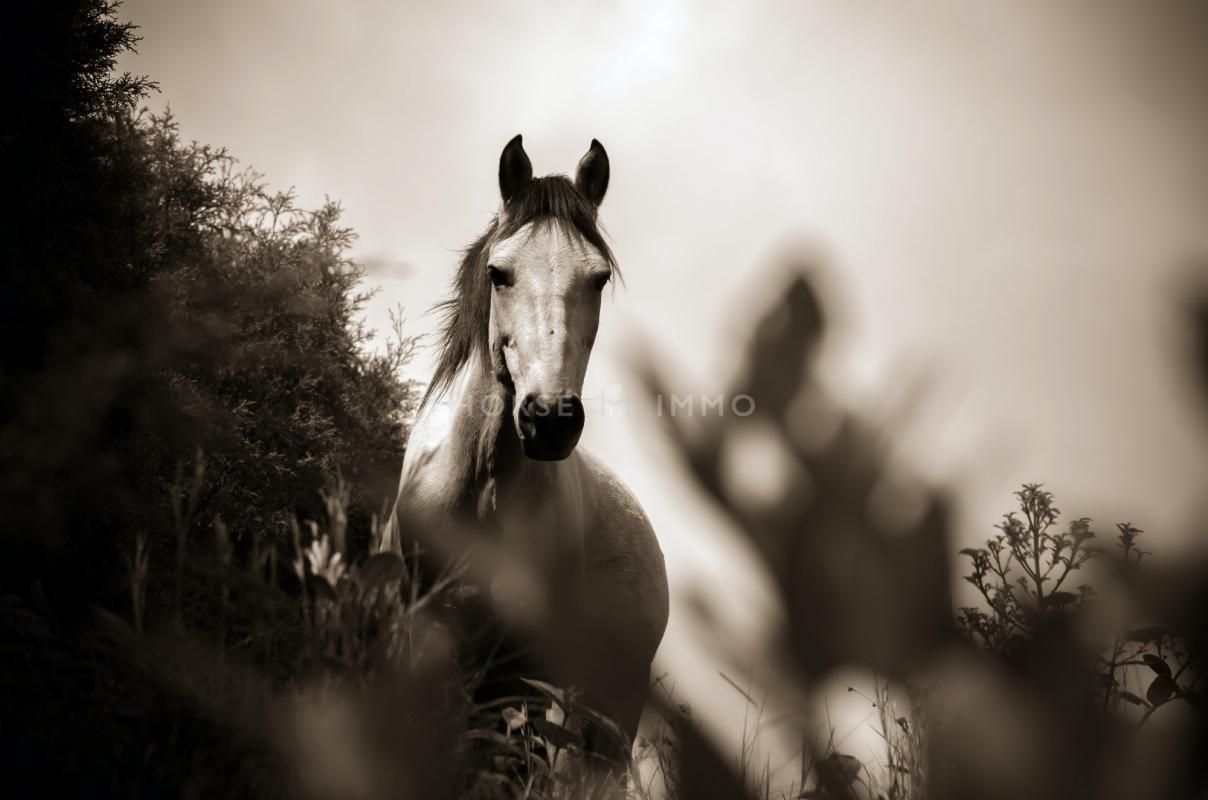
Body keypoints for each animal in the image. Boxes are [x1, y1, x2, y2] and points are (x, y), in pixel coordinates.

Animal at [381, 136, 671, 773]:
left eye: (598, 278)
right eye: (499, 273)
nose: (549, 420)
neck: (481, 491)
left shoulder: (523, 674)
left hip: (605, 714)